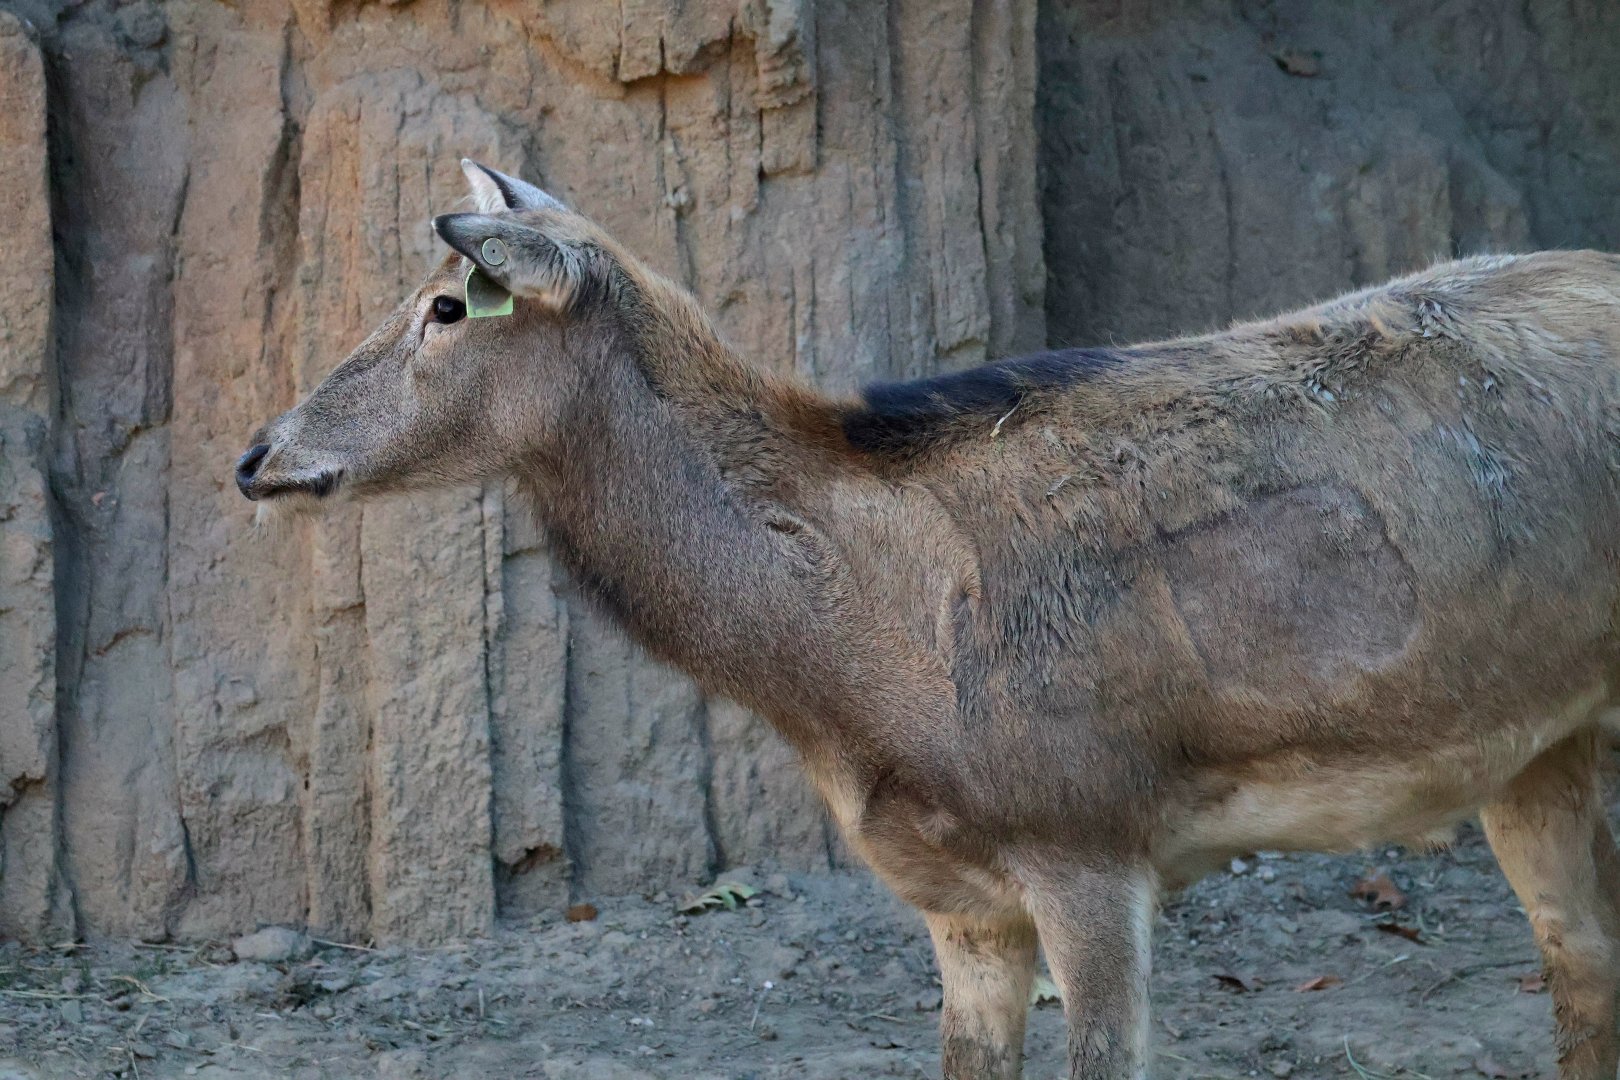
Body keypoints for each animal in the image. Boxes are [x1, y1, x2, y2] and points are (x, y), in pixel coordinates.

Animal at [237, 159, 1620, 1079]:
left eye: (446, 306)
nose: (258, 456)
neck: (859, 678)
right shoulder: (956, 905)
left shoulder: (1092, 837)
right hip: (1534, 747)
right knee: (1583, 962)